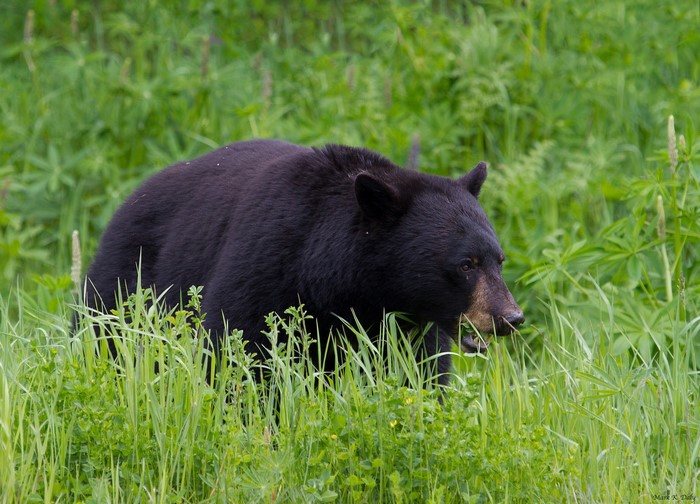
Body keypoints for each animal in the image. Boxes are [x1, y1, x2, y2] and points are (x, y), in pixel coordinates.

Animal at [85, 139, 523, 385]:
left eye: (498, 260)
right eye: (465, 264)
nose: (510, 317)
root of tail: (127, 200)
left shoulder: (407, 323)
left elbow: (420, 374)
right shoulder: (268, 263)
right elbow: (238, 350)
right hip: (127, 284)